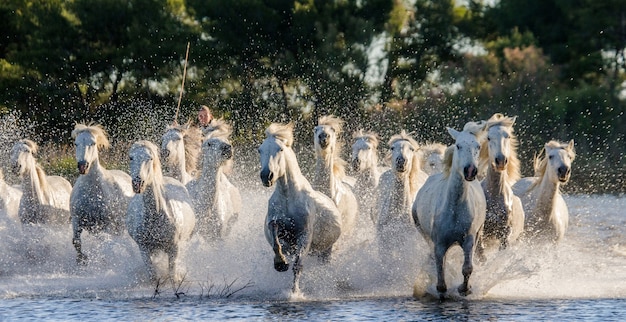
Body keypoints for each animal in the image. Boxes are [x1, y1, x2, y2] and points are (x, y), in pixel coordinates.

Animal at [69, 123, 133, 264]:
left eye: (92, 143)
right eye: (76, 143)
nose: (83, 166)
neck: (91, 193)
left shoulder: (107, 225)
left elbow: (105, 244)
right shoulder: (77, 219)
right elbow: (76, 242)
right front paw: (81, 260)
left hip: (119, 227)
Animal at [125, 140, 195, 280]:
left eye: (150, 158)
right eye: (131, 157)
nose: (137, 183)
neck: (157, 215)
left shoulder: (174, 248)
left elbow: (172, 275)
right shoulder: (144, 249)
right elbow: (153, 276)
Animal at [260, 123, 344, 294]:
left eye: (280, 149)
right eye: (260, 150)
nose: (266, 176)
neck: (288, 196)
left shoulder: (304, 235)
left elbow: (298, 266)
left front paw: (294, 292)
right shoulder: (278, 227)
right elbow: (276, 240)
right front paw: (280, 263)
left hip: (326, 251)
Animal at [410, 122, 488, 298]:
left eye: (478, 146)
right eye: (458, 145)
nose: (470, 170)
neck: (454, 208)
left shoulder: (469, 239)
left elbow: (467, 268)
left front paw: (465, 289)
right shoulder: (439, 244)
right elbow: (440, 276)